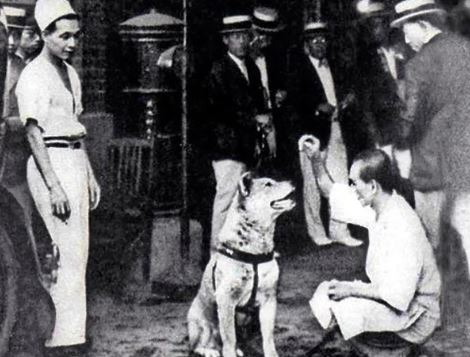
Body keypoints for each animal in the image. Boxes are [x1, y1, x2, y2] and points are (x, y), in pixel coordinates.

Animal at [186, 171, 294, 354]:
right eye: (268, 184)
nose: (293, 181)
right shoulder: (226, 300)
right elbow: (229, 340)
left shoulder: (269, 300)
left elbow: (268, 338)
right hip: (201, 322)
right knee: (197, 345)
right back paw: (210, 351)